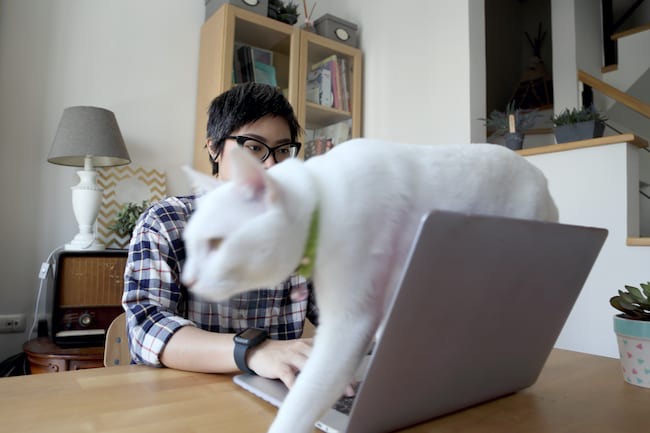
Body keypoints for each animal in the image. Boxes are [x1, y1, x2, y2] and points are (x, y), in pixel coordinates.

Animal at [181, 138, 556, 432]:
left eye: (215, 243)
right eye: (189, 245)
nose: (188, 279)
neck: (323, 200)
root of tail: (542, 179)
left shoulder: (350, 323)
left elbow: (302, 401)